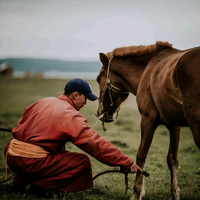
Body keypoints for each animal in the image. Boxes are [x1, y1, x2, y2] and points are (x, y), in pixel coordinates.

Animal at [95, 41, 200, 200]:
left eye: (98, 79)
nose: (100, 113)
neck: (148, 68)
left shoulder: (147, 120)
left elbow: (141, 156)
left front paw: (136, 192)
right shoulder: (174, 125)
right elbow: (172, 159)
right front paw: (175, 193)